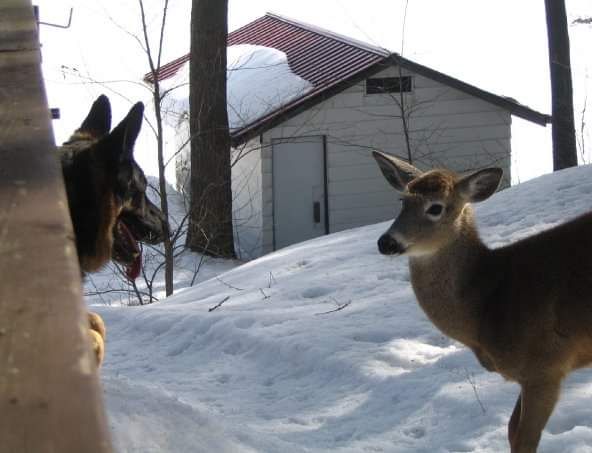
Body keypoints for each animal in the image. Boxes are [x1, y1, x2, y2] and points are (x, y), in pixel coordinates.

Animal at [372, 151, 592, 453]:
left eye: (436, 208)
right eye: (402, 201)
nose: (387, 242)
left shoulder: (547, 366)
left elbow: (524, 440)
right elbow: (511, 430)